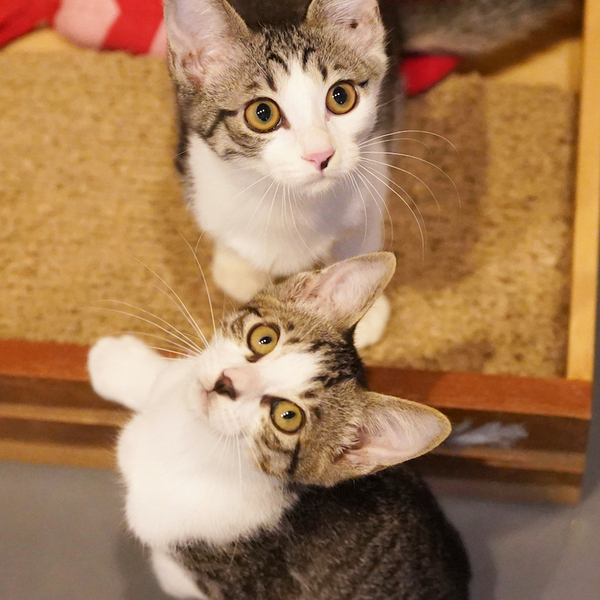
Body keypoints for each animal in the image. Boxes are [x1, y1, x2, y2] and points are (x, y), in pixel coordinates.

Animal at [88, 252, 471, 599]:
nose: (228, 382)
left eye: (288, 416)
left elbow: (176, 576)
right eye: (264, 338)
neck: (194, 440)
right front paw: (118, 364)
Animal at [164, 0, 577, 348]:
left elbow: (359, 241)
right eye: (261, 113)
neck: (293, 204)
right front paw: (238, 268)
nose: (321, 154)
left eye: (341, 97)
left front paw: (359, 304)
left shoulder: (373, 175)